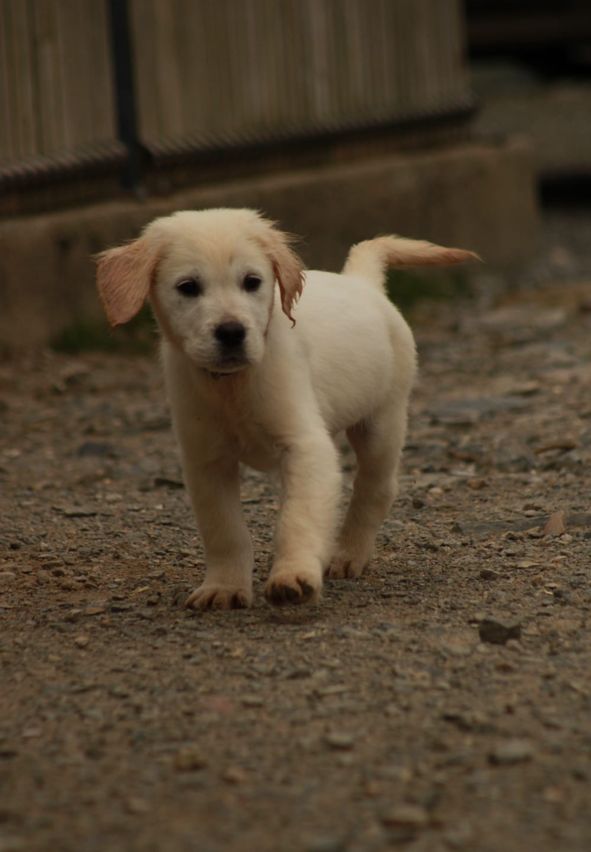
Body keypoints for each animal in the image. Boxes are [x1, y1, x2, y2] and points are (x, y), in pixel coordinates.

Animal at [96, 210, 476, 608]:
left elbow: (298, 518)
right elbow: (223, 530)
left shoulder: (305, 445)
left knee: (376, 488)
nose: (231, 332)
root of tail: (360, 283)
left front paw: (293, 575)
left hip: (382, 422)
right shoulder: (206, 461)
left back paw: (348, 554)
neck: (232, 385)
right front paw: (225, 586)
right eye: (188, 287)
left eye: (252, 282)